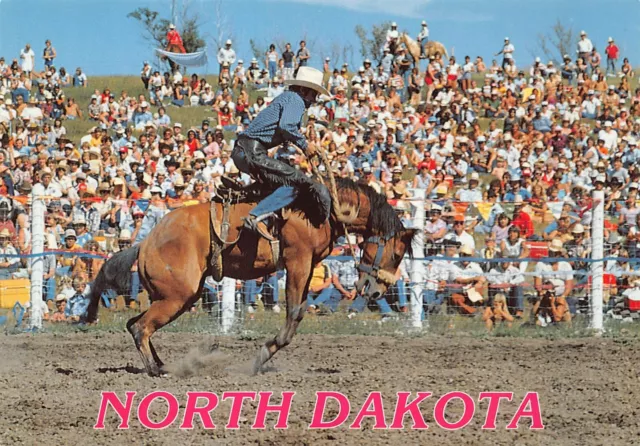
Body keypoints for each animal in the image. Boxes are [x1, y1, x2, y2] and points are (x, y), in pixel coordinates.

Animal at [85, 178, 412, 376]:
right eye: (397, 254)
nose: (376, 292)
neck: (324, 209)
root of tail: (145, 243)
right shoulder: (298, 260)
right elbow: (295, 311)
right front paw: (264, 354)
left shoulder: (307, 265)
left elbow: (299, 308)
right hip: (177, 297)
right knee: (141, 328)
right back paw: (157, 371)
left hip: (173, 297)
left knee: (135, 324)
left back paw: (162, 365)